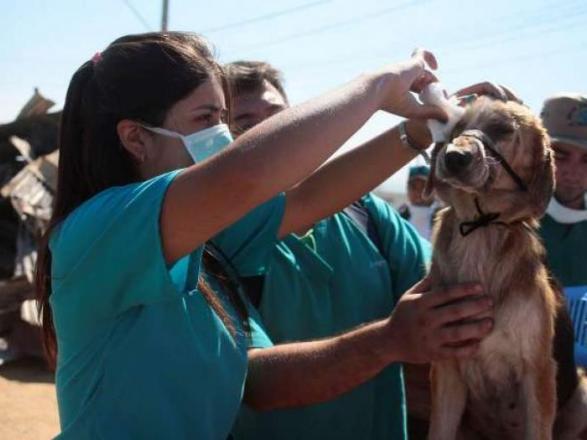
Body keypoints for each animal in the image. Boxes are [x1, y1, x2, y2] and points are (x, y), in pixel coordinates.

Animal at [424, 97, 564, 440]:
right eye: (457, 128)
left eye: (503, 129)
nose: (454, 157)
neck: (480, 228)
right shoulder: (446, 368)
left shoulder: (538, 370)